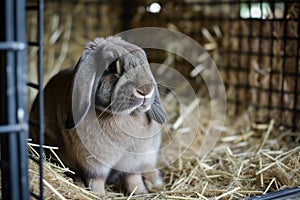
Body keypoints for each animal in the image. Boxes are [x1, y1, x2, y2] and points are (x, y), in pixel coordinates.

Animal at [30, 36, 168, 197]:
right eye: (113, 67)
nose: (145, 90)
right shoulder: (93, 163)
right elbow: (96, 180)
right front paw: (99, 195)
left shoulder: (132, 161)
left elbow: (133, 178)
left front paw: (140, 193)